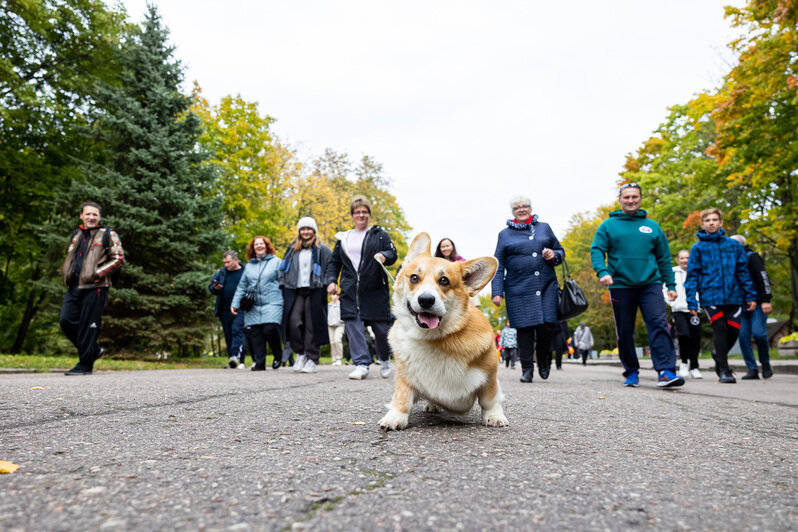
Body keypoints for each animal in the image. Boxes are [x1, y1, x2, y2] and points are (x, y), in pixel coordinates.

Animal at [378, 234, 510, 432]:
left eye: (444, 280)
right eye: (414, 277)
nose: (426, 300)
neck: (434, 338)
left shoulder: (489, 376)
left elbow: (490, 400)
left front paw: (494, 416)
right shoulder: (404, 378)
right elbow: (402, 398)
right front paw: (395, 417)